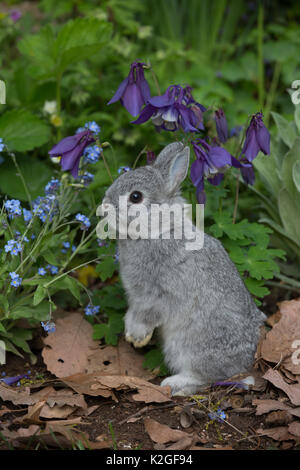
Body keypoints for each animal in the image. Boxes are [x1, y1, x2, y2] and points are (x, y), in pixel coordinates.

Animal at [101, 141, 264, 394]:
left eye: (136, 197)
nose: (104, 206)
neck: (157, 230)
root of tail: (243, 363)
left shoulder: (160, 292)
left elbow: (148, 314)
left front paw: (138, 336)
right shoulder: (136, 297)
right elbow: (133, 312)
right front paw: (131, 334)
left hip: (189, 346)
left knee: (206, 377)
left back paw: (175, 384)